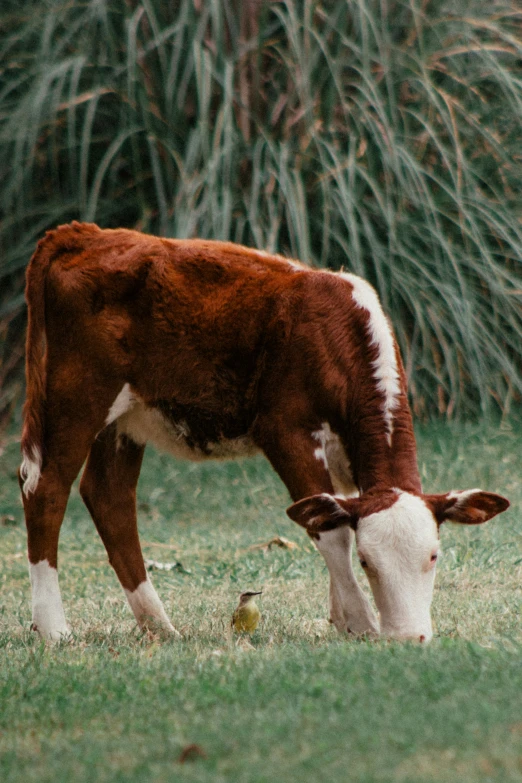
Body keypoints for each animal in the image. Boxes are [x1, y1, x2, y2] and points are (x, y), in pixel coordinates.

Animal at [19, 222, 508, 644]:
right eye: (368, 561)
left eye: (434, 556)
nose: (409, 637)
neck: (335, 336)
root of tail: (83, 234)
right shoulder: (286, 430)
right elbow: (329, 531)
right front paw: (360, 622)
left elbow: (333, 511)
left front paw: (339, 617)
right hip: (77, 395)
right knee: (47, 488)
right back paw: (54, 628)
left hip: (125, 418)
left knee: (109, 496)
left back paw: (159, 626)